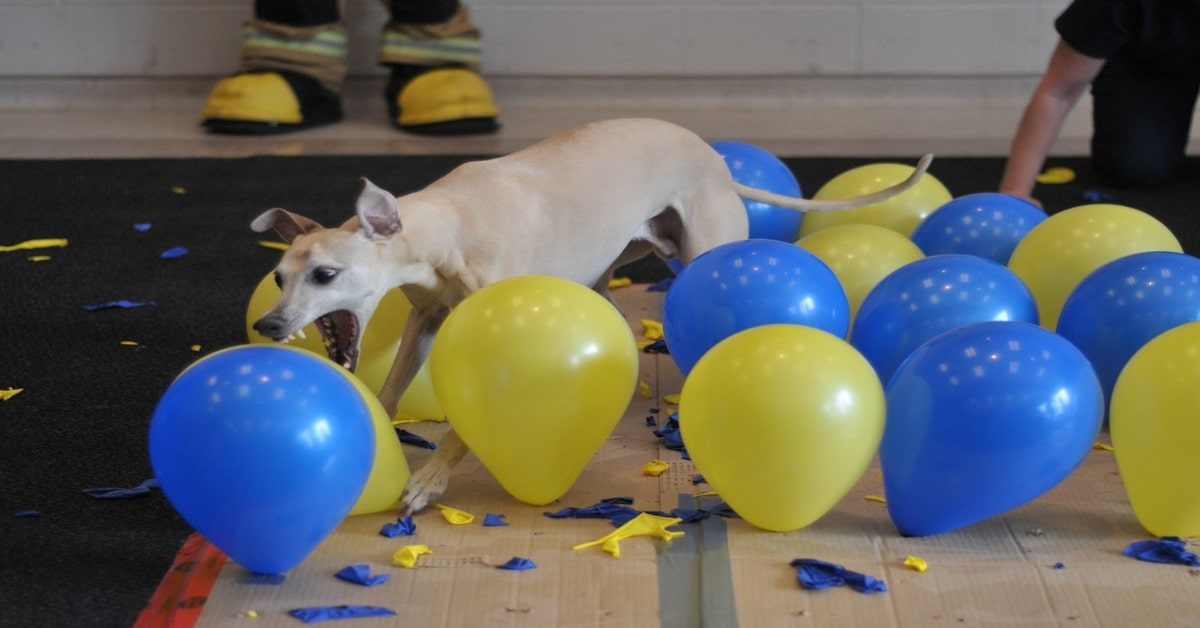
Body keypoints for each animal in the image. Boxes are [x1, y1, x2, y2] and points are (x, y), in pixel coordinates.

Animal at [248, 117, 931, 516]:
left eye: (325, 275)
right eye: (280, 277)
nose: (270, 327)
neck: (447, 224)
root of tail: (713, 158)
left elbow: (469, 424)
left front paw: (431, 480)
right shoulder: (427, 321)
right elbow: (389, 389)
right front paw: (375, 430)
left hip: (698, 248)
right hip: (616, 256)